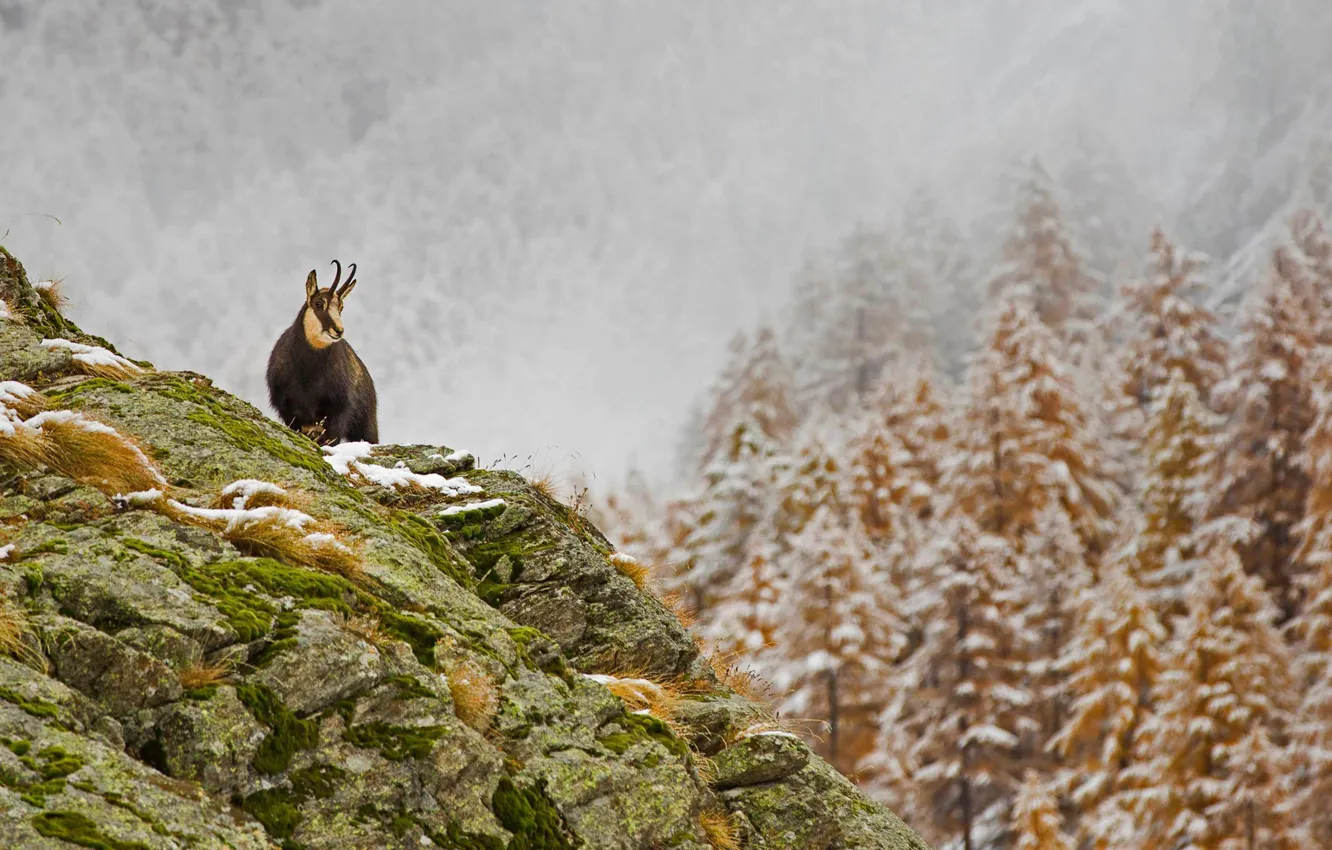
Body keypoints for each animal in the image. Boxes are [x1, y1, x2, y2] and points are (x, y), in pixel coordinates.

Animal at [266, 260, 378, 446]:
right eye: (319, 303)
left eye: (341, 307)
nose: (338, 330)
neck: (308, 370)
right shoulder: (286, 408)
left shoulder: (339, 409)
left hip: (366, 424)